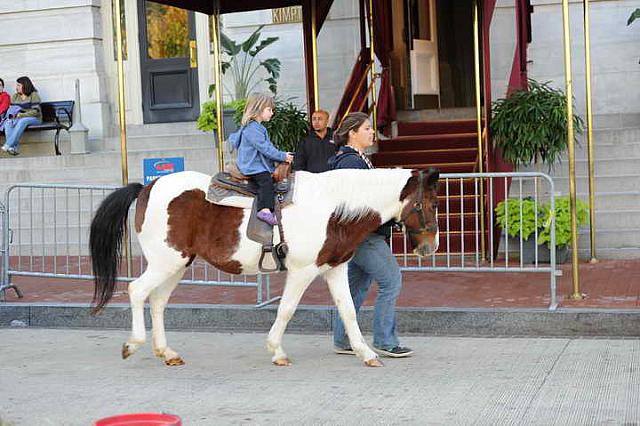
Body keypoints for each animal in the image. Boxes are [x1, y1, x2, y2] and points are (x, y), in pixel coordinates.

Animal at [91, 166, 440, 366]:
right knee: (137, 291)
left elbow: (349, 310)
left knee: (158, 301)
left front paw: (366, 353)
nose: (430, 246)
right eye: (427, 203)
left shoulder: (334, 268)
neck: (332, 208)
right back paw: (133, 344)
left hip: (177, 264)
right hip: (166, 262)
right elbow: (286, 310)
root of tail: (148, 187)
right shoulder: (302, 271)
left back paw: (167, 352)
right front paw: (277, 350)